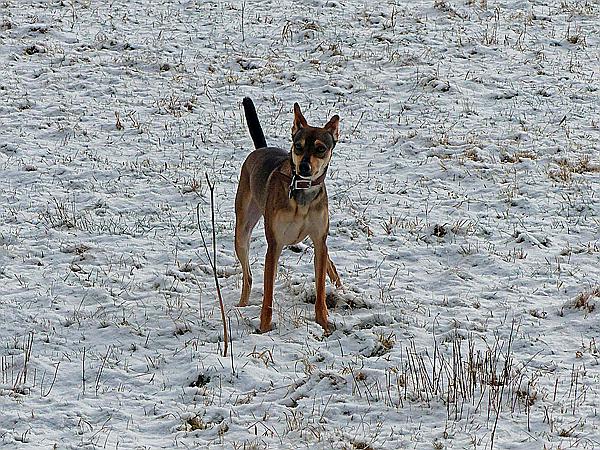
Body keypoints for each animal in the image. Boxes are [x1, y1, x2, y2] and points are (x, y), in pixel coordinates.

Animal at [236, 96, 342, 332]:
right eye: (298, 146)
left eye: (321, 149)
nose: (304, 167)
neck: (302, 191)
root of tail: (261, 149)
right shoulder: (274, 244)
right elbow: (268, 295)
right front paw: (264, 327)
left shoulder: (319, 239)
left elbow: (320, 288)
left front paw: (323, 321)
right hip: (242, 231)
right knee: (248, 276)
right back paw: (241, 305)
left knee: (329, 263)